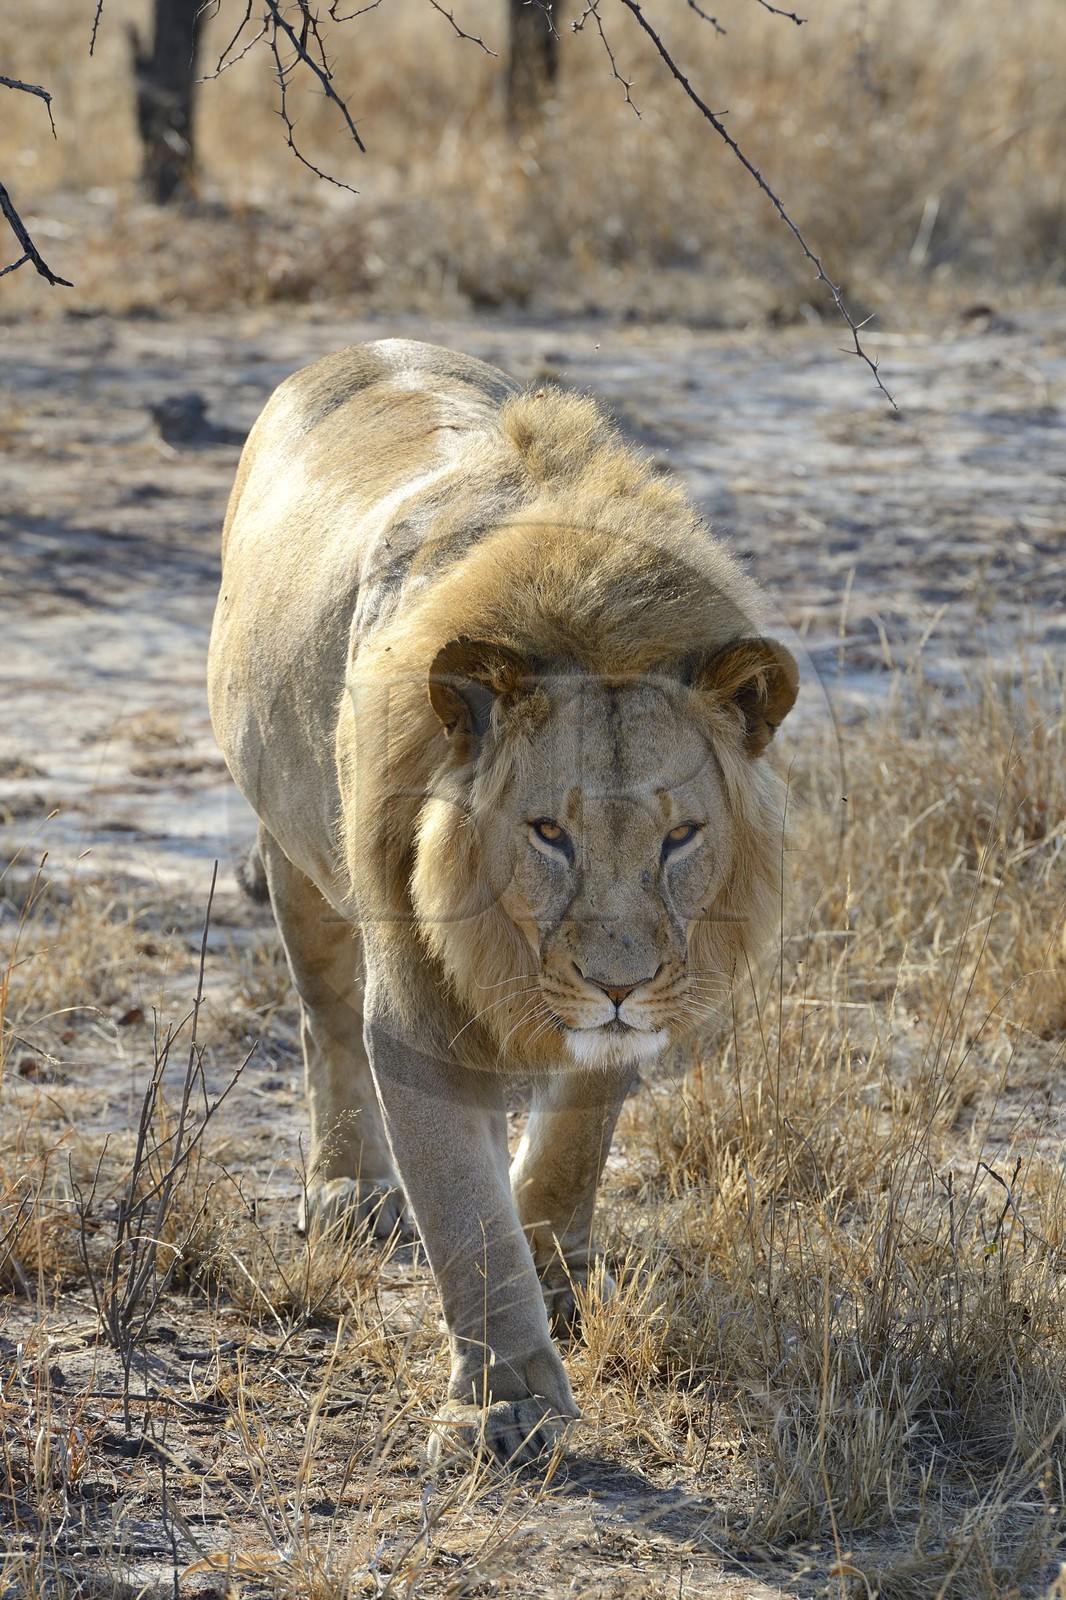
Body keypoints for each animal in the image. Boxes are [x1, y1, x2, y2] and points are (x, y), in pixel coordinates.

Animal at [208, 339, 797, 1467]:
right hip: (291, 845)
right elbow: (465, 1217)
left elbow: (571, 1147)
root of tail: (361, 345)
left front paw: (554, 1267)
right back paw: (348, 1191)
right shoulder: (417, 1001)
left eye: (680, 837)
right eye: (547, 833)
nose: (618, 983)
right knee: (321, 1019)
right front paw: (508, 1404)